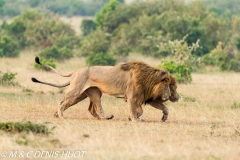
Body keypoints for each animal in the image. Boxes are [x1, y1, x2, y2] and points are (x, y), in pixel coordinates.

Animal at [32, 57, 171, 121]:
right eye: (167, 85)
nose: (169, 96)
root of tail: (75, 71)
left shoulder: (142, 97)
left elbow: (142, 109)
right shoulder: (132, 96)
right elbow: (135, 110)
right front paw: (136, 119)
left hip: (88, 93)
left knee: (91, 108)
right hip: (77, 91)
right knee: (63, 103)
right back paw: (61, 116)